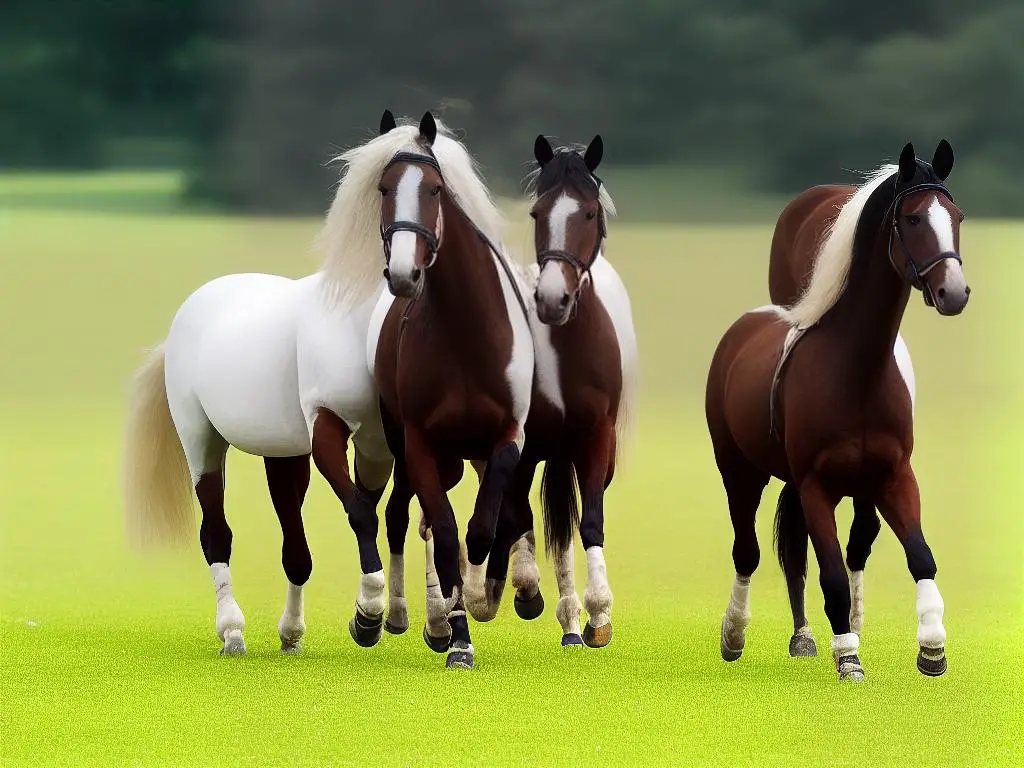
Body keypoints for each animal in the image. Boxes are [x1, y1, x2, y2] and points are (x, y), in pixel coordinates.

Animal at [327, 111, 536, 671]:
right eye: (383, 187)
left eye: (435, 189)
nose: (404, 273)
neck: (464, 334)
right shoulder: (420, 441)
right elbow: (442, 531)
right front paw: (458, 637)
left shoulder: (506, 436)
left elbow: (482, 526)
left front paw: (483, 596)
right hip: (409, 446)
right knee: (401, 514)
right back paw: (403, 617)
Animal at [464, 134, 638, 651]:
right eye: (537, 212)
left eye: (589, 212)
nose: (552, 300)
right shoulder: (523, 444)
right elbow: (518, 517)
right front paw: (518, 589)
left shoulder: (596, 437)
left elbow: (589, 521)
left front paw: (599, 614)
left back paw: (573, 624)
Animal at [704, 141, 966, 684]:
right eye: (912, 219)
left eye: (956, 216)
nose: (953, 292)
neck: (856, 371)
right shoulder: (815, 485)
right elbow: (830, 576)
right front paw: (848, 658)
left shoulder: (893, 475)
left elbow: (921, 557)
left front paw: (932, 650)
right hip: (738, 469)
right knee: (748, 550)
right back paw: (736, 635)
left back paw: (805, 637)